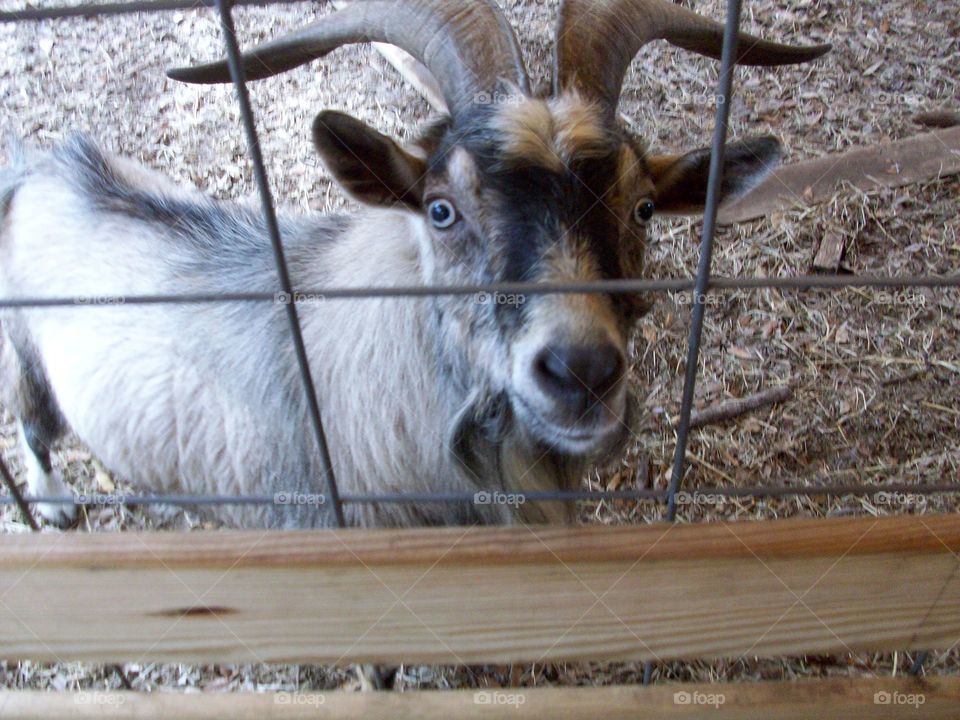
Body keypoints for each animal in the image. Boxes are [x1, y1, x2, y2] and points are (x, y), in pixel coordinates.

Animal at [0, 0, 829, 529]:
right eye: (441, 209)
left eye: (645, 209)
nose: (582, 371)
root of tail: (43, 171)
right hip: (32, 363)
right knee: (33, 428)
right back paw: (56, 507)